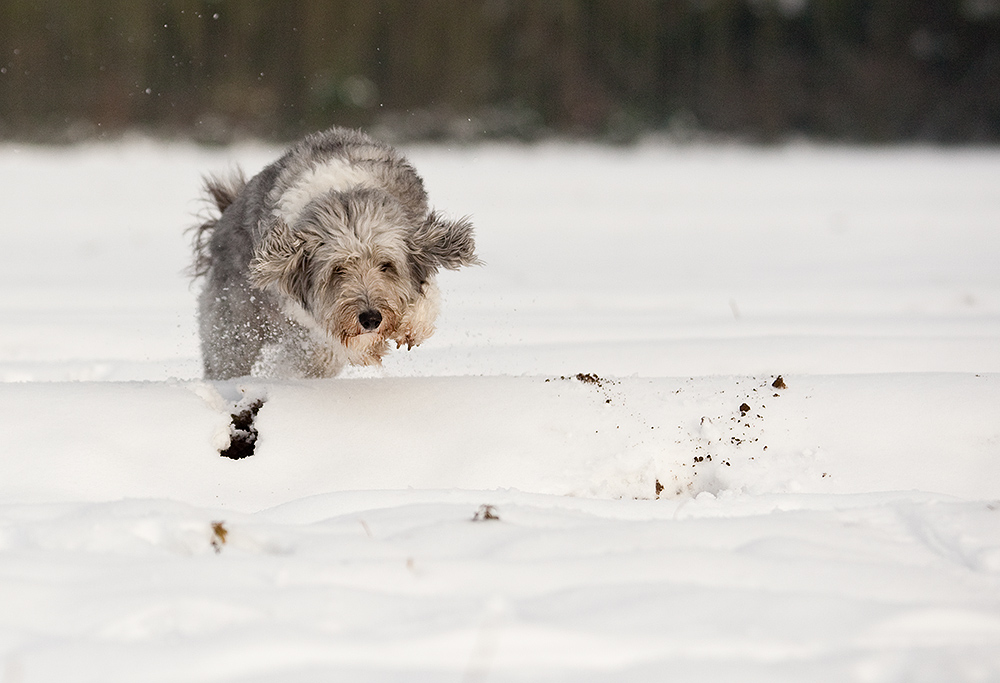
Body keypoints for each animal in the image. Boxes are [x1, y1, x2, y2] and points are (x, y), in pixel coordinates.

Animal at [194, 127, 480, 380]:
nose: (370, 319)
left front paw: (413, 324)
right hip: (233, 329)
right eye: (337, 270)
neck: (346, 194)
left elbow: (426, 293)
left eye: (386, 265)